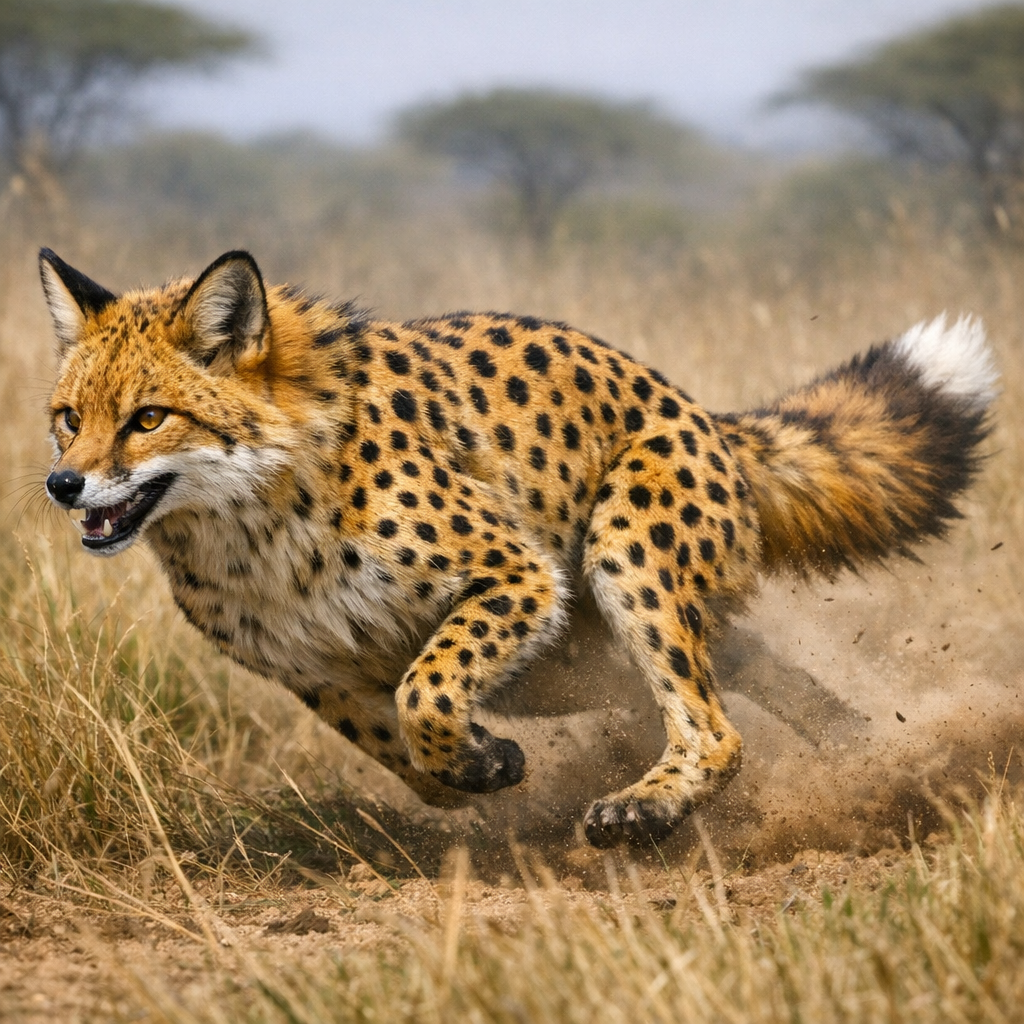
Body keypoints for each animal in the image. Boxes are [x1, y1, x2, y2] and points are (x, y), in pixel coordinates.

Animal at [40, 247, 997, 847]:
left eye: (148, 417)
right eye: (67, 417)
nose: (64, 484)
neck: (244, 517)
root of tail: (700, 412)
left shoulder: (518, 573)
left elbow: (427, 687)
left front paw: (473, 751)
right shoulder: (314, 673)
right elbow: (407, 753)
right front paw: (484, 762)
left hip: (623, 550)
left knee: (714, 727)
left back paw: (644, 811)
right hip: (590, 646)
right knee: (749, 669)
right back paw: (878, 753)